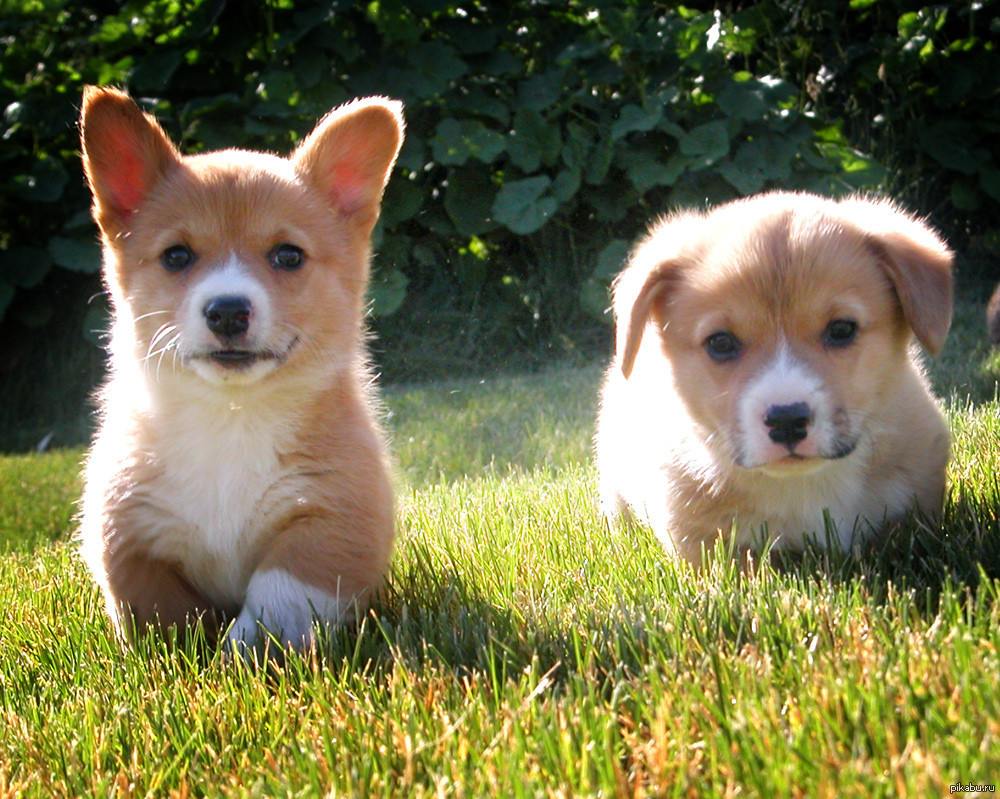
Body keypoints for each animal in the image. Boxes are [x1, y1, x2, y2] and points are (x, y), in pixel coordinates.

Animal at [79, 87, 402, 660]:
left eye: (288, 255)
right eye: (177, 255)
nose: (228, 311)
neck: (230, 415)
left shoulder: (334, 518)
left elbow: (280, 592)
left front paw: (246, 653)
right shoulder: (128, 535)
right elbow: (159, 614)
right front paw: (181, 658)